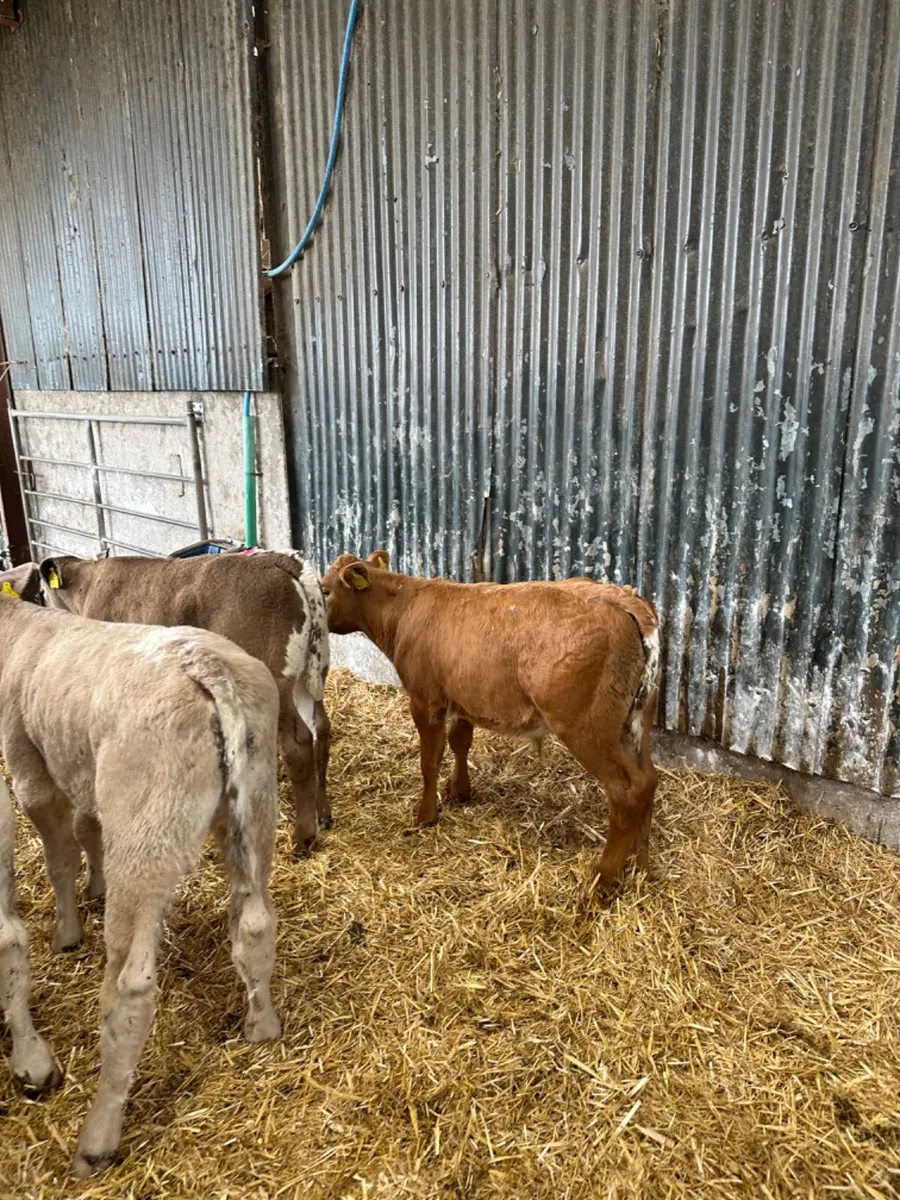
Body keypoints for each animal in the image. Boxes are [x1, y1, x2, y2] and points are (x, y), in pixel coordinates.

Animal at [0, 580, 282, 1176]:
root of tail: (206, 667)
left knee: (129, 990)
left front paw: (66, 931)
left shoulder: (30, 769)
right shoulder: (81, 773)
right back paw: (262, 1027)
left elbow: (61, 853)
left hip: (147, 830)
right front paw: (92, 888)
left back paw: (97, 1138)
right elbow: (88, 830)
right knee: (254, 926)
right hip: (254, 805)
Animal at [37, 550, 330, 854]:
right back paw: (322, 814)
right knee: (320, 728)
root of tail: (282, 559)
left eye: (41, 592)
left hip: (275, 677)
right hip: (310, 674)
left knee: (298, 742)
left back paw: (303, 836)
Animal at [320, 552, 660, 891]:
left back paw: (602, 879)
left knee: (625, 791)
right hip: (637, 724)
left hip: (585, 728)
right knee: (648, 781)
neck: (405, 606)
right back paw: (640, 865)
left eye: (324, 590)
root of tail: (622, 600)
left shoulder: (424, 699)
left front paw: (426, 814)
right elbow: (460, 742)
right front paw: (460, 790)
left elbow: (430, 759)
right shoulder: (461, 697)